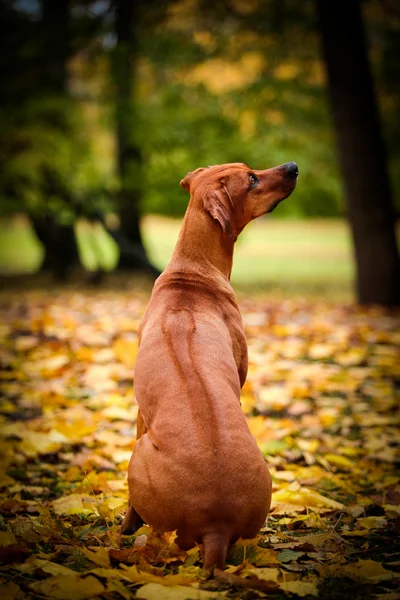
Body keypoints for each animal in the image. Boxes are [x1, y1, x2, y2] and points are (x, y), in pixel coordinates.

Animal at [120, 162, 298, 568]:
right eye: (251, 178)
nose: (293, 166)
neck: (192, 274)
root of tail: (216, 525)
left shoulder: (140, 414)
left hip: (139, 454)